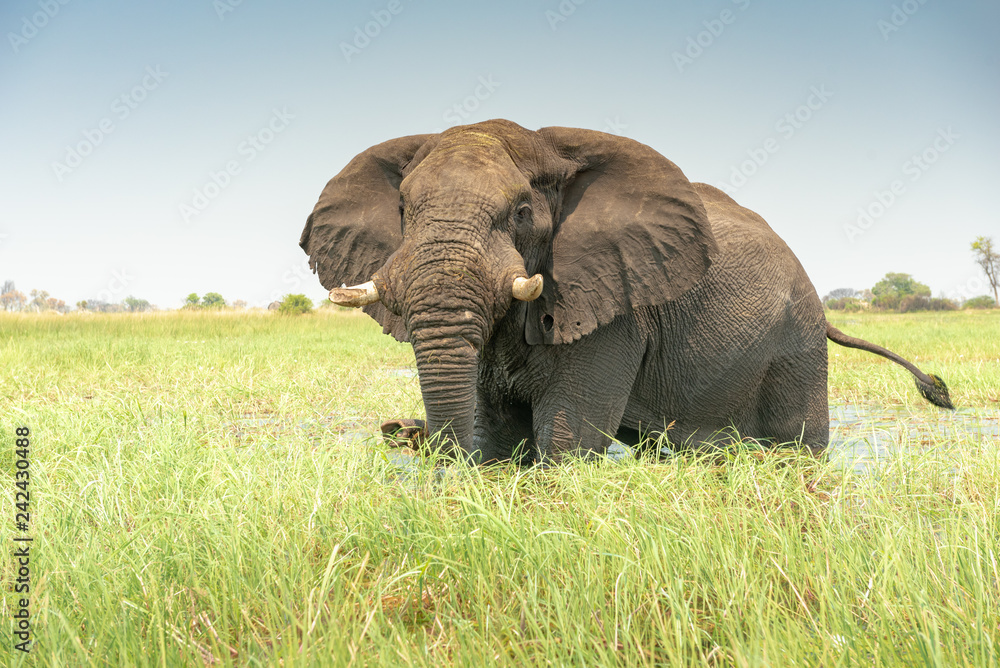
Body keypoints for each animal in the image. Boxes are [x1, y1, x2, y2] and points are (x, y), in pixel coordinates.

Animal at [300, 119, 952, 464]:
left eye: (521, 213)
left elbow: (566, 439)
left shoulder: (613, 309)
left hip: (796, 348)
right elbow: (500, 436)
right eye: (402, 209)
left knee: (796, 443)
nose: (411, 442)